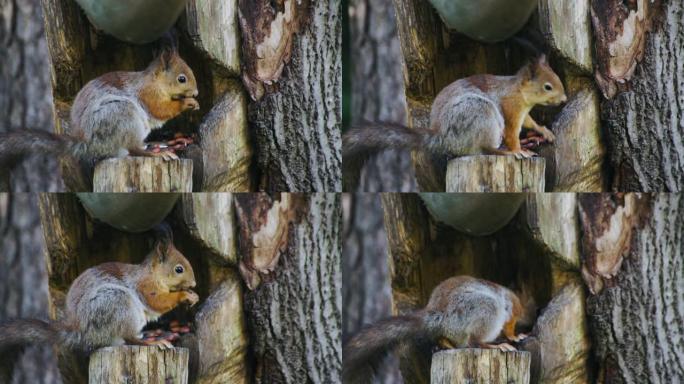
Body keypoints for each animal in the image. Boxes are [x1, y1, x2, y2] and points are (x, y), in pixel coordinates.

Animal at [0, 44, 198, 166]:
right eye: (181, 79)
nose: (196, 93)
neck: (155, 82)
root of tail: (88, 144)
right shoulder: (148, 94)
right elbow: (160, 109)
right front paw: (188, 102)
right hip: (121, 115)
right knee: (132, 149)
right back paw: (156, 153)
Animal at [0, 225, 198, 354]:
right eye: (179, 269)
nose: (194, 284)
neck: (154, 274)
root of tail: (80, 331)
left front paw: (193, 295)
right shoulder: (145, 286)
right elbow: (157, 301)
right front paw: (185, 295)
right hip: (117, 303)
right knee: (129, 338)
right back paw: (153, 341)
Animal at [344, 276, 532, 384]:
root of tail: (439, 315)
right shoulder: (512, 309)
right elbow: (509, 327)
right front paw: (515, 337)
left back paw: (446, 345)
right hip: (485, 308)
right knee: (474, 342)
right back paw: (495, 345)